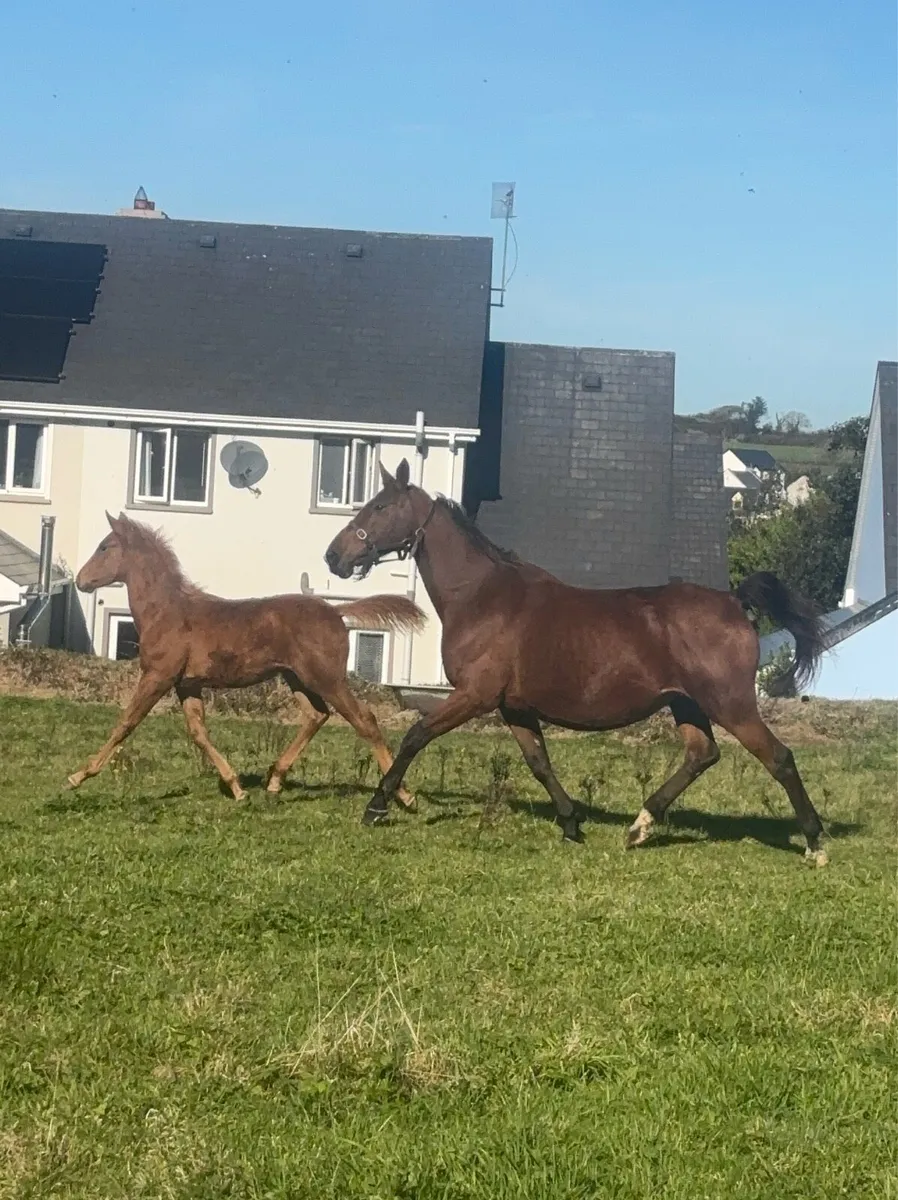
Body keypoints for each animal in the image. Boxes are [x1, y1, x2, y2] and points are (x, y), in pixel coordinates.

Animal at [68, 511, 425, 809]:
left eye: (104, 547)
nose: (80, 580)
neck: (167, 611)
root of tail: (337, 612)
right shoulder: (187, 685)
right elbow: (199, 733)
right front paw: (237, 788)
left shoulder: (158, 676)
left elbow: (125, 723)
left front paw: (78, 776)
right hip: (295, 677)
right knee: (316, 715)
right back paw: (275, 781)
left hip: (327, 677)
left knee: (364, 720)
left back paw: (403, 795)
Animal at [324, 460, 830, 866]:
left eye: (380, 507)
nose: (334, 555)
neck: (481, 596)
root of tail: (734, 602)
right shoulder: (514, 706)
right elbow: (539, 762)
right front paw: (571, 823)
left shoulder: (474, 696)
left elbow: (415, 736)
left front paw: (378, 806)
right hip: (686, 704)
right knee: (702, 754)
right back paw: (639, 826)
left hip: (731, 705)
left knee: (779, 758)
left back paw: (815, 843)